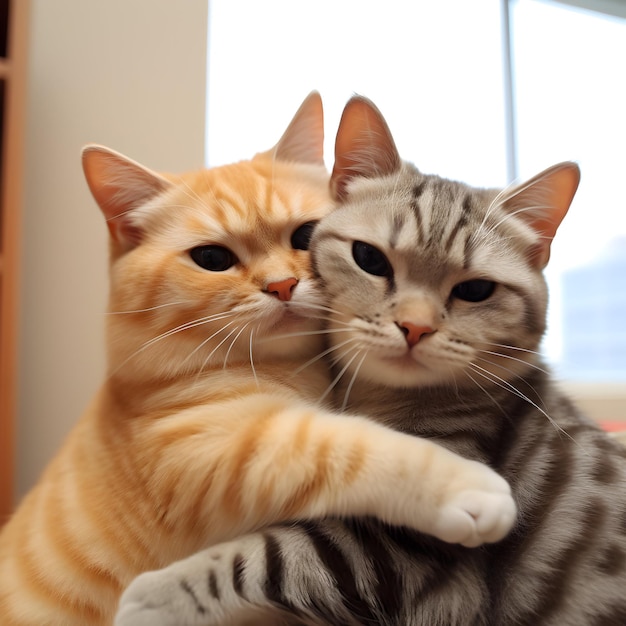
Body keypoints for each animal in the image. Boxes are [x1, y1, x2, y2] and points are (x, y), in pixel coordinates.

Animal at [0, 90, 512, 620]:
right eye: (211, 259)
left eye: (305, 236)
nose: (282, 286)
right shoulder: (222, 452)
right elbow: (352, 445)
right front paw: (471, 488)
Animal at [113, 97, 624, 624]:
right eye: (370, 259)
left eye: (476, 290)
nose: (415, 327)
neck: (374, 398)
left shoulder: (401, 559)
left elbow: (262, 556)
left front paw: (151, 595)